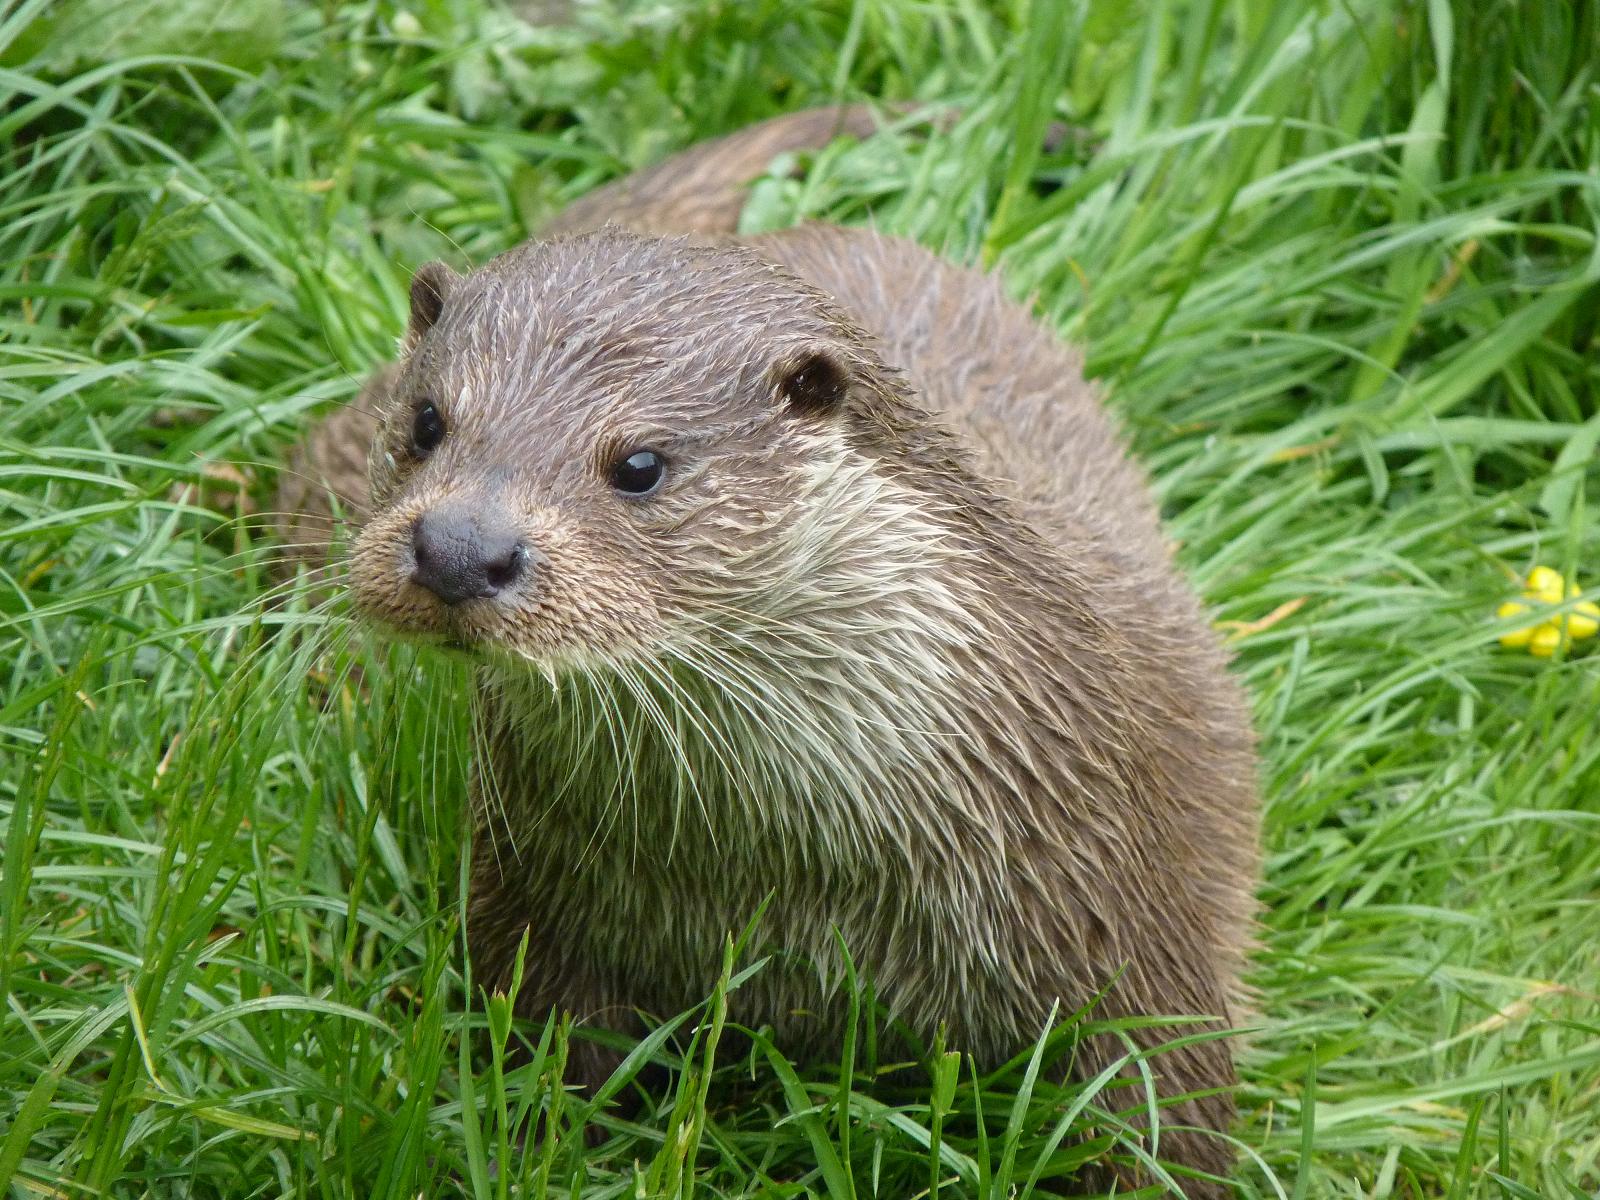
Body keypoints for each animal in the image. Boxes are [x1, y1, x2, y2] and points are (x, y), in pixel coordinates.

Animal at [281, 105, 1260, 1193]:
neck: (788, 871)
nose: (459, 547)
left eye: (640, 464)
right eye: (427, 420)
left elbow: (1167, 1109)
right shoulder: (534, 897)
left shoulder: (1122, 909)